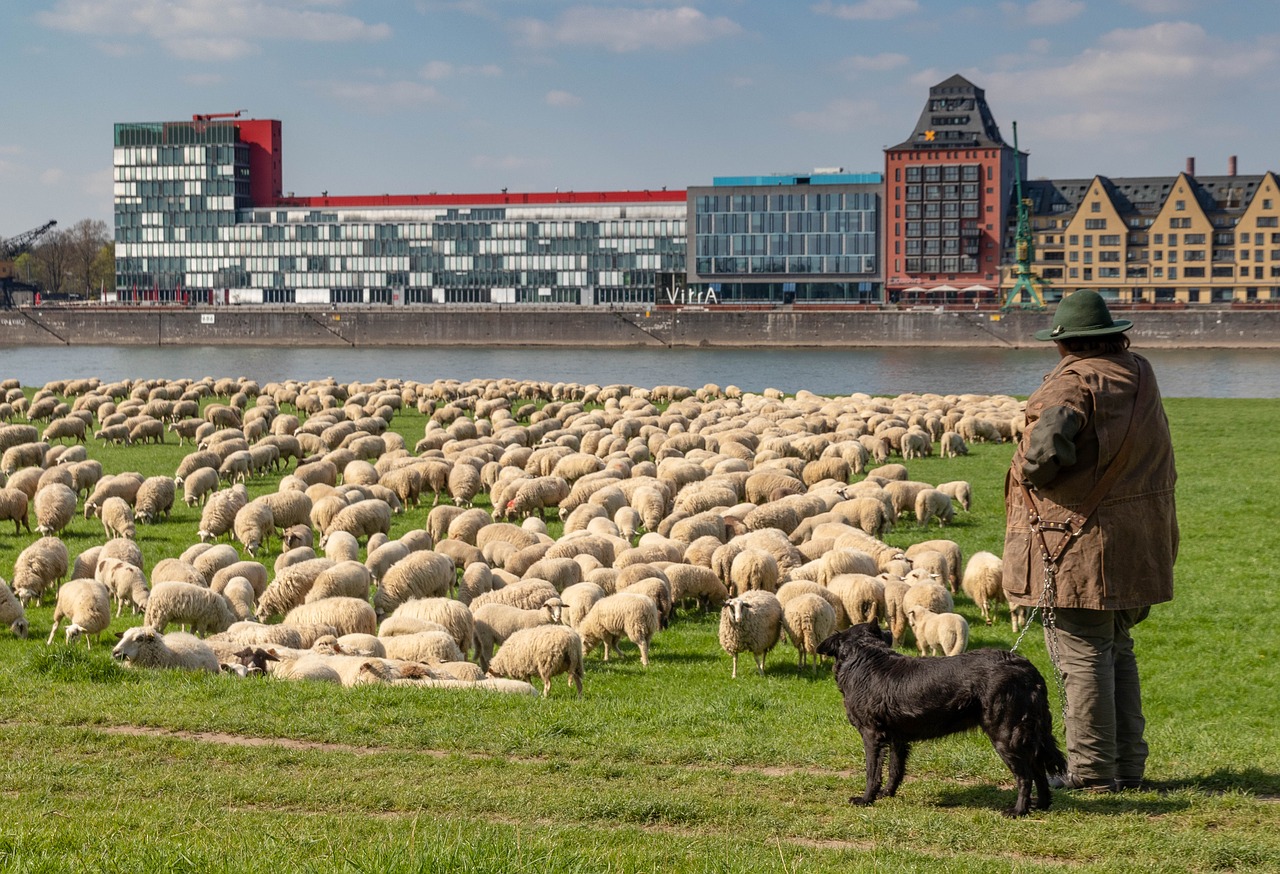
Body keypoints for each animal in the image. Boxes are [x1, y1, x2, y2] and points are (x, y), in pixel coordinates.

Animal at [819, 621, 1070, 818]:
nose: (889, 631)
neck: (865, 660)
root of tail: (1027, 669)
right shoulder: (897, 738)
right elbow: (894, 770)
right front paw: (887, 794)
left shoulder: (872, 734)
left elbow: (872, 772)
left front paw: (866, 799)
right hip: (1027, 733)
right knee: (1038, 769)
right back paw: (1041, 805)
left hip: (1005, 734)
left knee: (1025, 775)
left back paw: (1018, 811)